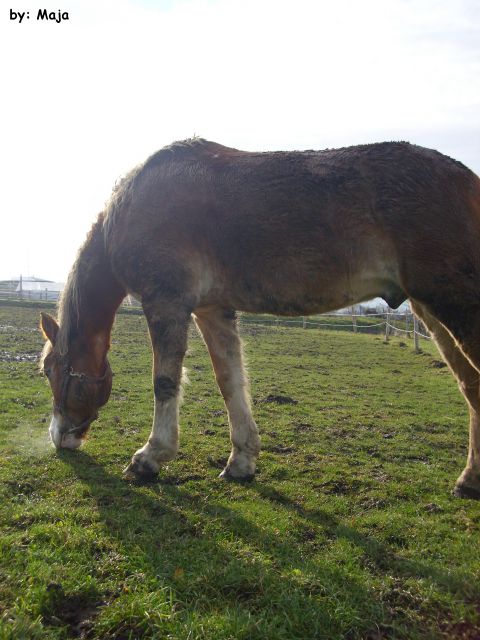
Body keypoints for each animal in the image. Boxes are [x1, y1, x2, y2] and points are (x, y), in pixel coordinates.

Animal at [39, 139, 480, 500]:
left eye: (48, 370)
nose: (58, 437)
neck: (134, 206)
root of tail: (467, 180)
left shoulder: (166, 300)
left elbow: (165, 383)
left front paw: (150, 457)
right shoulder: (212, 309)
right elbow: (231, 382)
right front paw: (241, 461)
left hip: (453, 303)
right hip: (430, 310)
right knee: (470, 385)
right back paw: (468, 481)